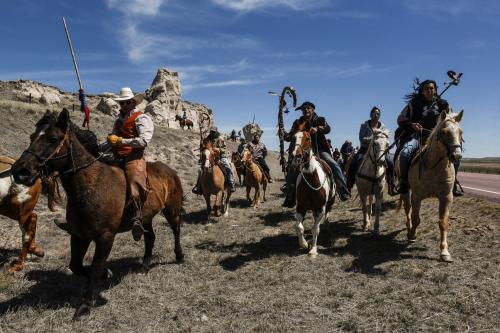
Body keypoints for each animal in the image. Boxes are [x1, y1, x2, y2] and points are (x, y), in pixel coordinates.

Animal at [12, 108, 184, 316]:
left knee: (176, 230)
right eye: (32, 137)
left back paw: (179, 256)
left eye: (53, 138)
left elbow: (94, 268)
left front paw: (86, 304)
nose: (20, 171)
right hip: (146, 218)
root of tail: (171, 171)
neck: (92, 184)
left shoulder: (105, 237)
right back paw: (144, 266)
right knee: (150, 238)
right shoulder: (79, 235)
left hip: (172, 210)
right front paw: (106, 273)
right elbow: (76, 266)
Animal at [396, 110, 462, 260]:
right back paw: (408, 229)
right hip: (406, 191)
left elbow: (443, 222)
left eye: (460, 132)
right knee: (408, 211)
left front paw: (444, 251)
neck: (435, 168)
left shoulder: (446, 197)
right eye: (444, 132)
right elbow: (416, 219)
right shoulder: (417, 196)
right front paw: (412, 235)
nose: (457, 156)